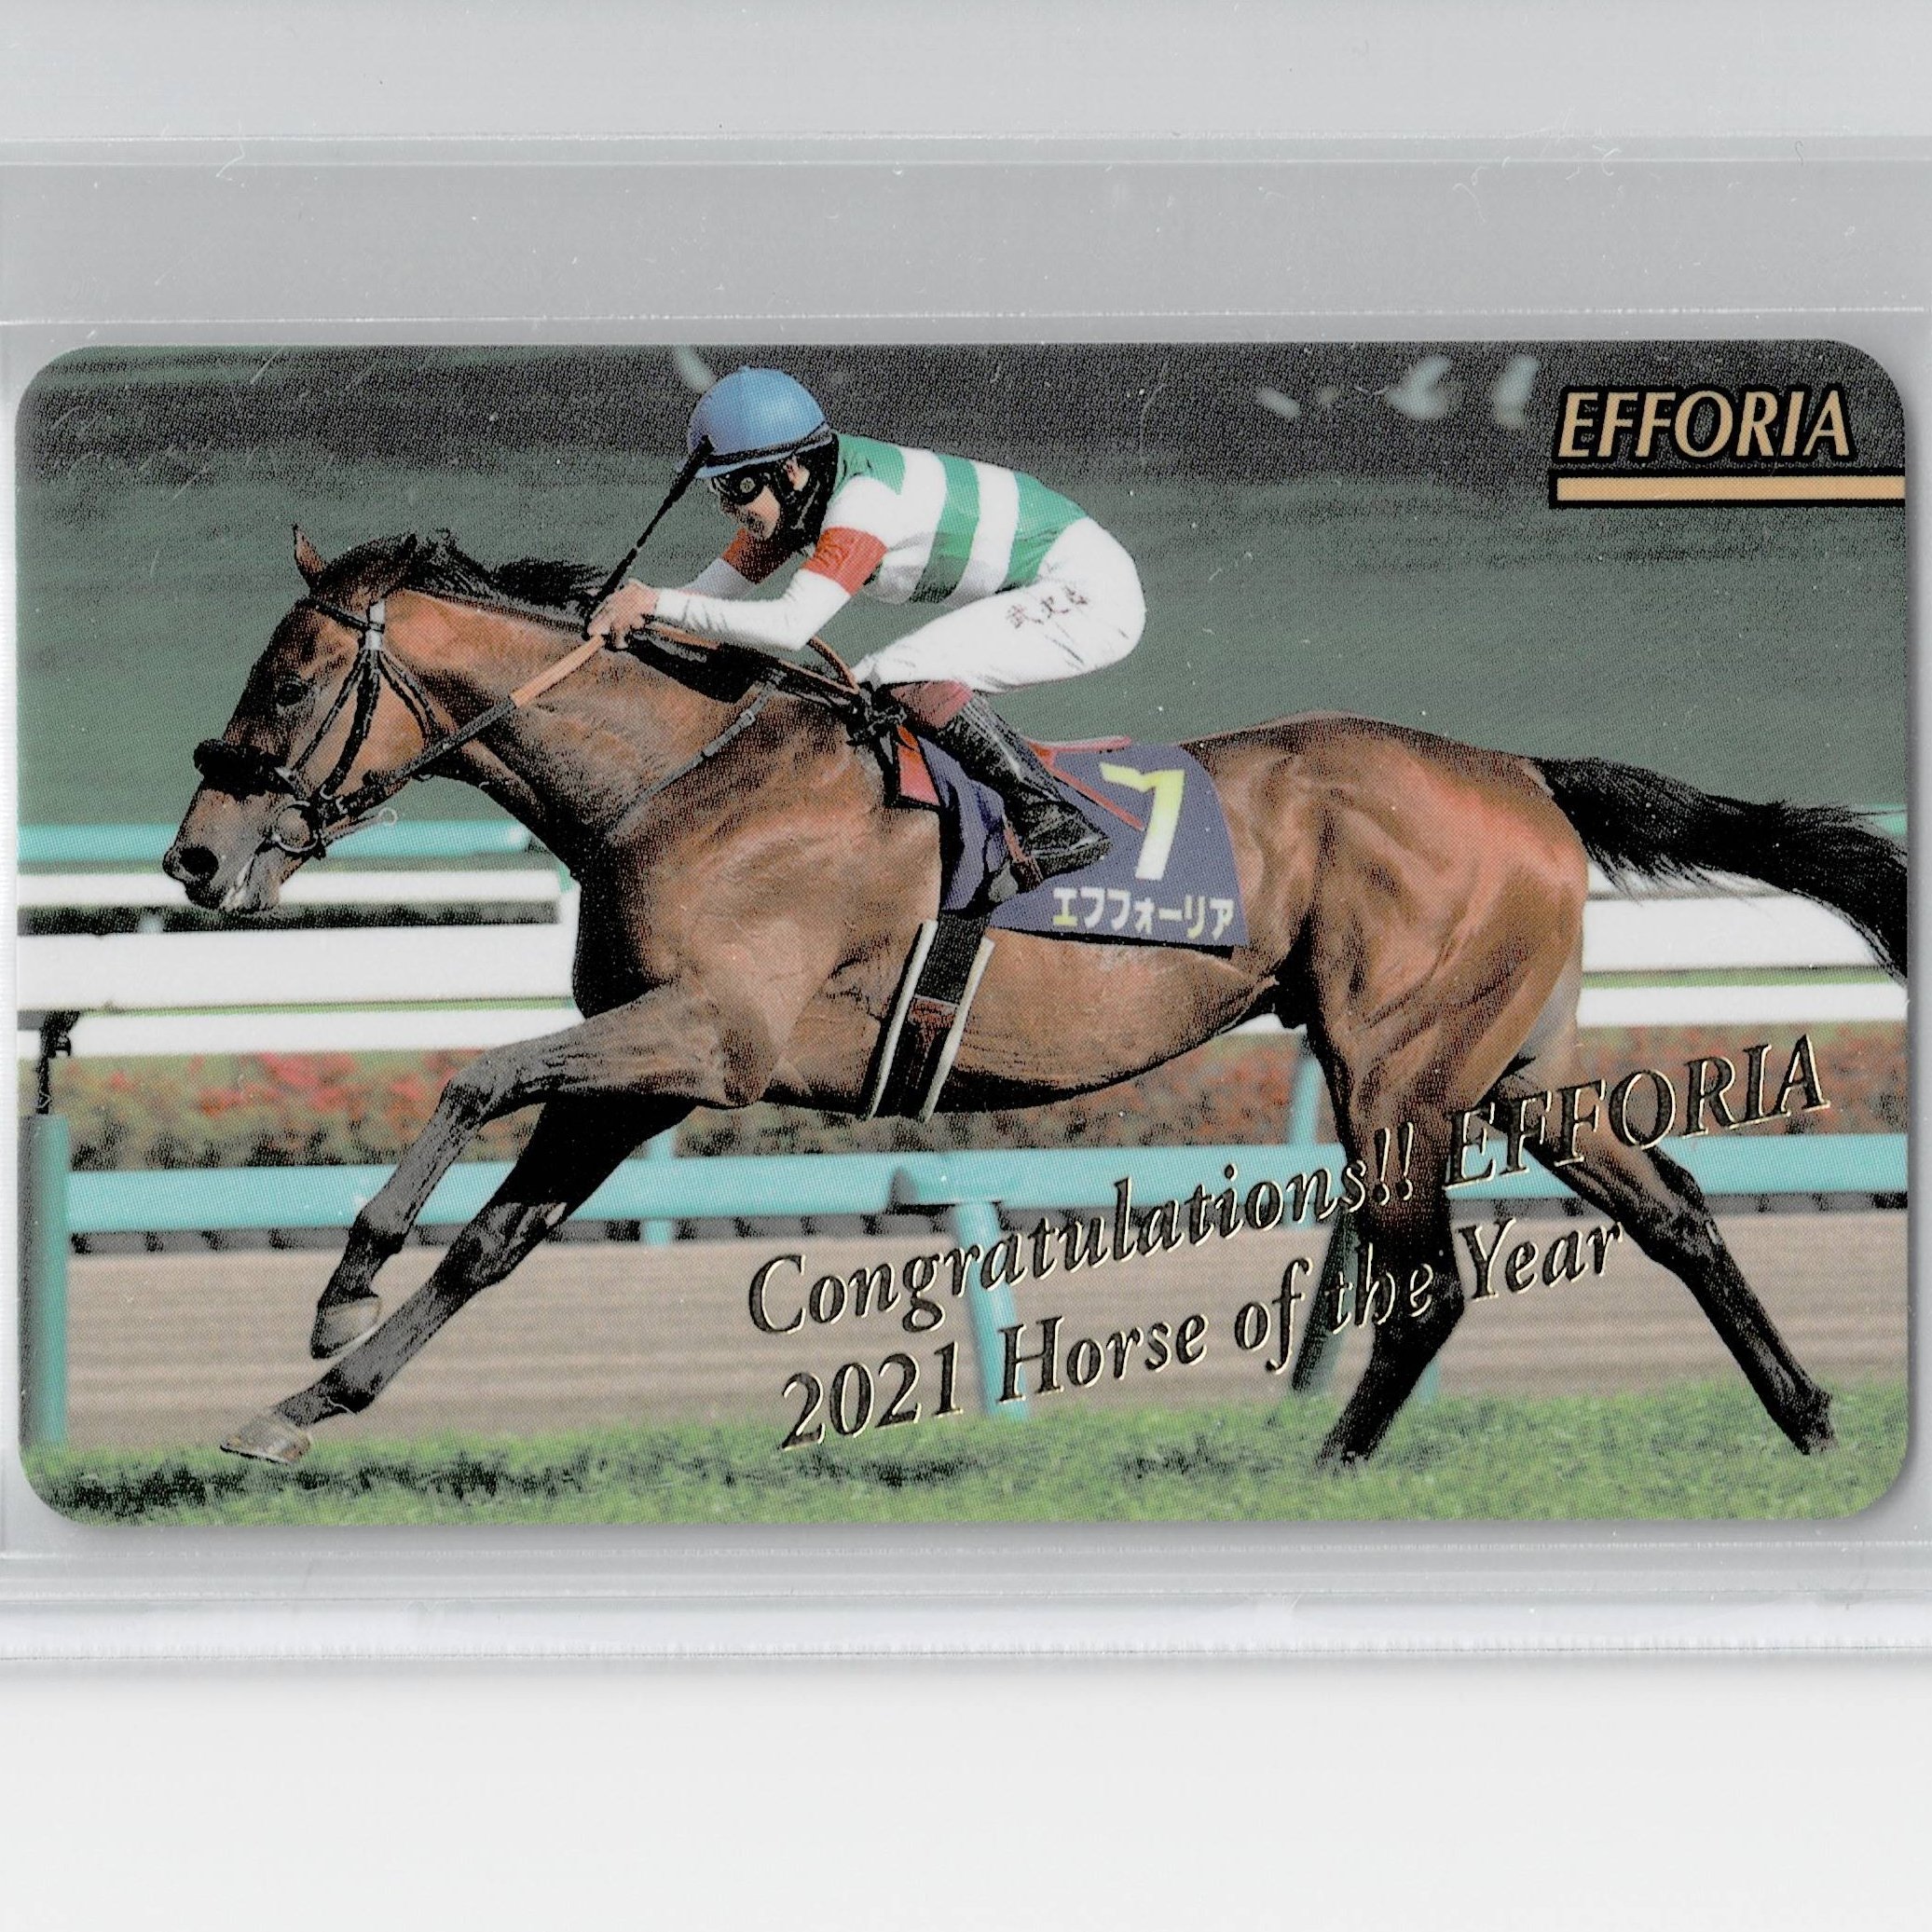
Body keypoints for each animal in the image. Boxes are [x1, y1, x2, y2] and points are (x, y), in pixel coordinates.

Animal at [164, 528, 1908, 1469]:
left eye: (290, 679)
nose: (193, 857)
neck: (680, 776)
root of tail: (1518, 771)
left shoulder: (706, 1039)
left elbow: (468, 1075)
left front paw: (337, 1290)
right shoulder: (642, 1073)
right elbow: (495, 1243)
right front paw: (302, 1403)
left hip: (1395, 1071)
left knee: (1428, 1283)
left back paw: (1331, 1461)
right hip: (1513, 1066)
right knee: (1672, 1209)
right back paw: (1808, 1416)